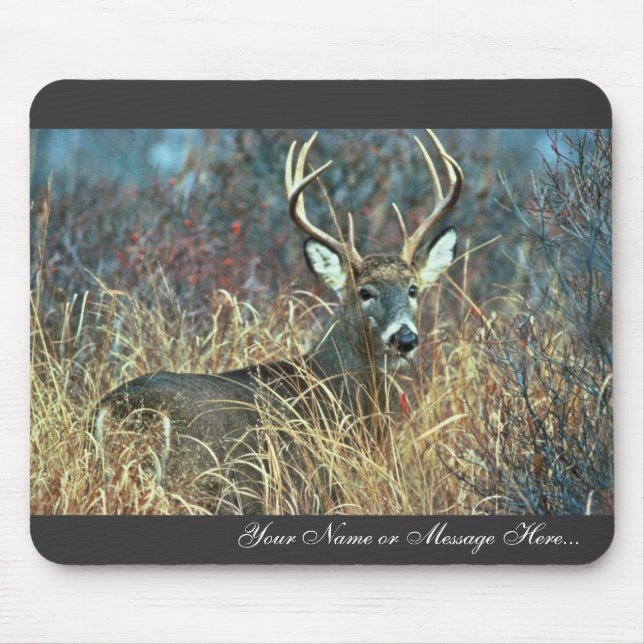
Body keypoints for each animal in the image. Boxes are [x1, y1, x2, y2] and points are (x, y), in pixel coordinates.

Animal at [94, 129, 463, 511]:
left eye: (413, 288)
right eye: (365, 292)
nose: (405, 339)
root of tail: (128, 410)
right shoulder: (315, 486)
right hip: (198, 483)